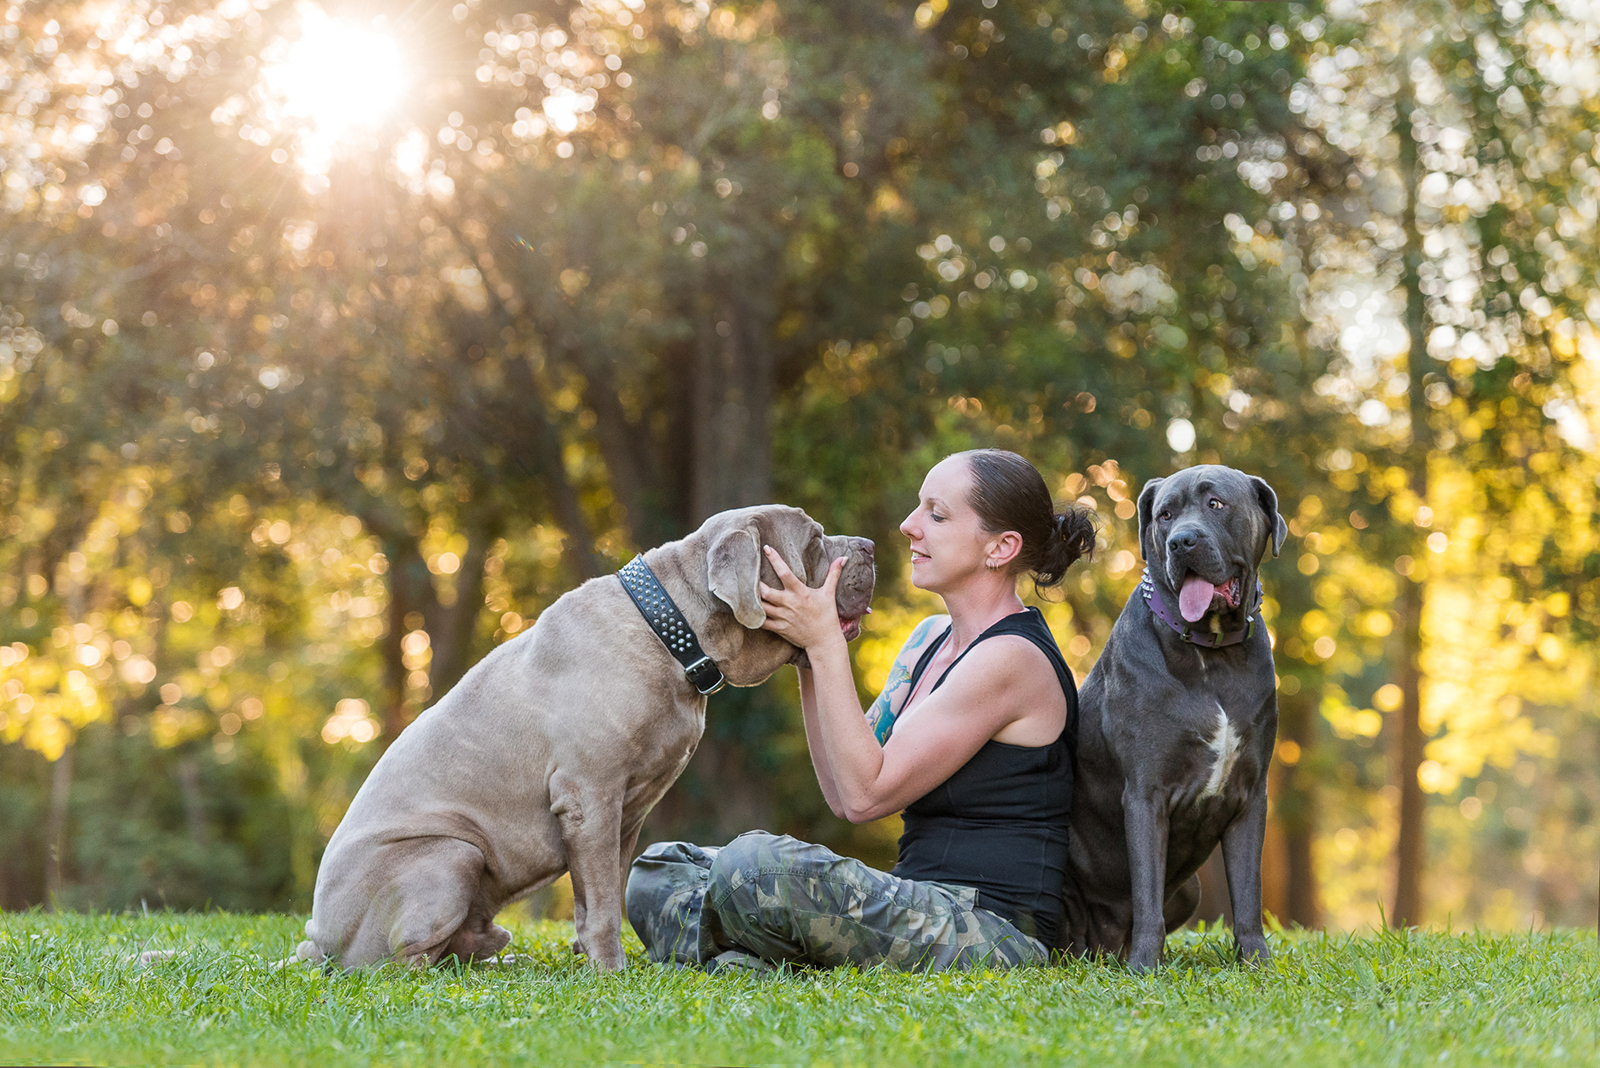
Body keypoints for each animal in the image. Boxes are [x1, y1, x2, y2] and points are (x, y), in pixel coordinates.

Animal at [299, 505, 876, 972]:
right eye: (815, 539)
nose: (870, 545)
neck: (672, 630)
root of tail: (315, 939)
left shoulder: (626, 813)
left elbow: (602, 891)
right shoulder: (591, 796)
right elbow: (599, 902)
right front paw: (610, 972)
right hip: (452, 853)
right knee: (394, 965)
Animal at [1062, 463, 1286, 972]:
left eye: (1216, 504)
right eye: (1165, 515)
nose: (1182, 541)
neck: (1212, 655)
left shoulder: (1251, 796)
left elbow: (1248, 895)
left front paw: (1257, 963)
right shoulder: (1146, 794)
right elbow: (1147, 894)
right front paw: (1146, 966)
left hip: (1191, 889)